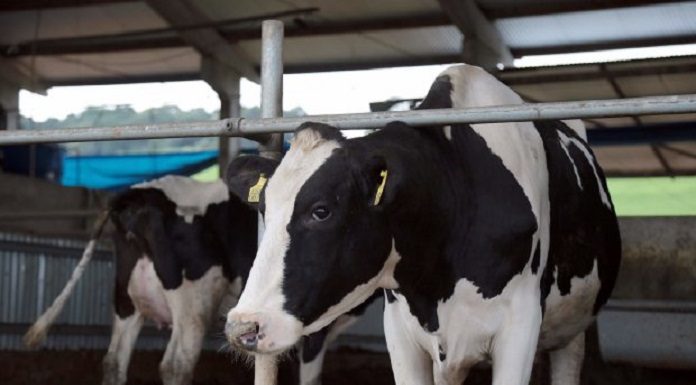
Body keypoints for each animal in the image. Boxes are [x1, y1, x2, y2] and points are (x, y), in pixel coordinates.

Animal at [25, 176, 376, 384]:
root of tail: (139, 194)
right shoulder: (314, 328)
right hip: (193, 302)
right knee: (176, 365)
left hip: (126, 299)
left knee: (114, 361)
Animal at [222, 63, 620, 384]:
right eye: (264, 208)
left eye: (321, 210)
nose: (243, 326)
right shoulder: (400, 331)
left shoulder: (520, 326)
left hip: (571, 329)